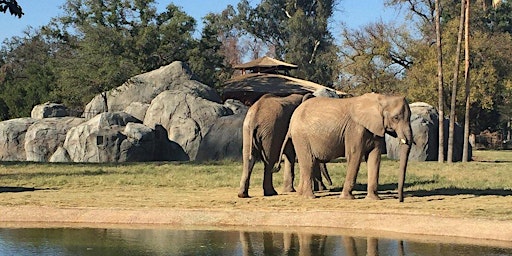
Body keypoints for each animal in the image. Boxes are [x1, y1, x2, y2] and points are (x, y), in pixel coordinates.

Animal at [276, 92, 412, 202]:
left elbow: (375, 157)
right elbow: (355, 155)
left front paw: (373, 199)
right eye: (396, 118)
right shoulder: (355, 129)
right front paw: (347, 198)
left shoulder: (376, 129)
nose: (400, 200)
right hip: (301, 136)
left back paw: (301, 194)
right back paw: (310, 197)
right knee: (308, 162)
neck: (381, 99)